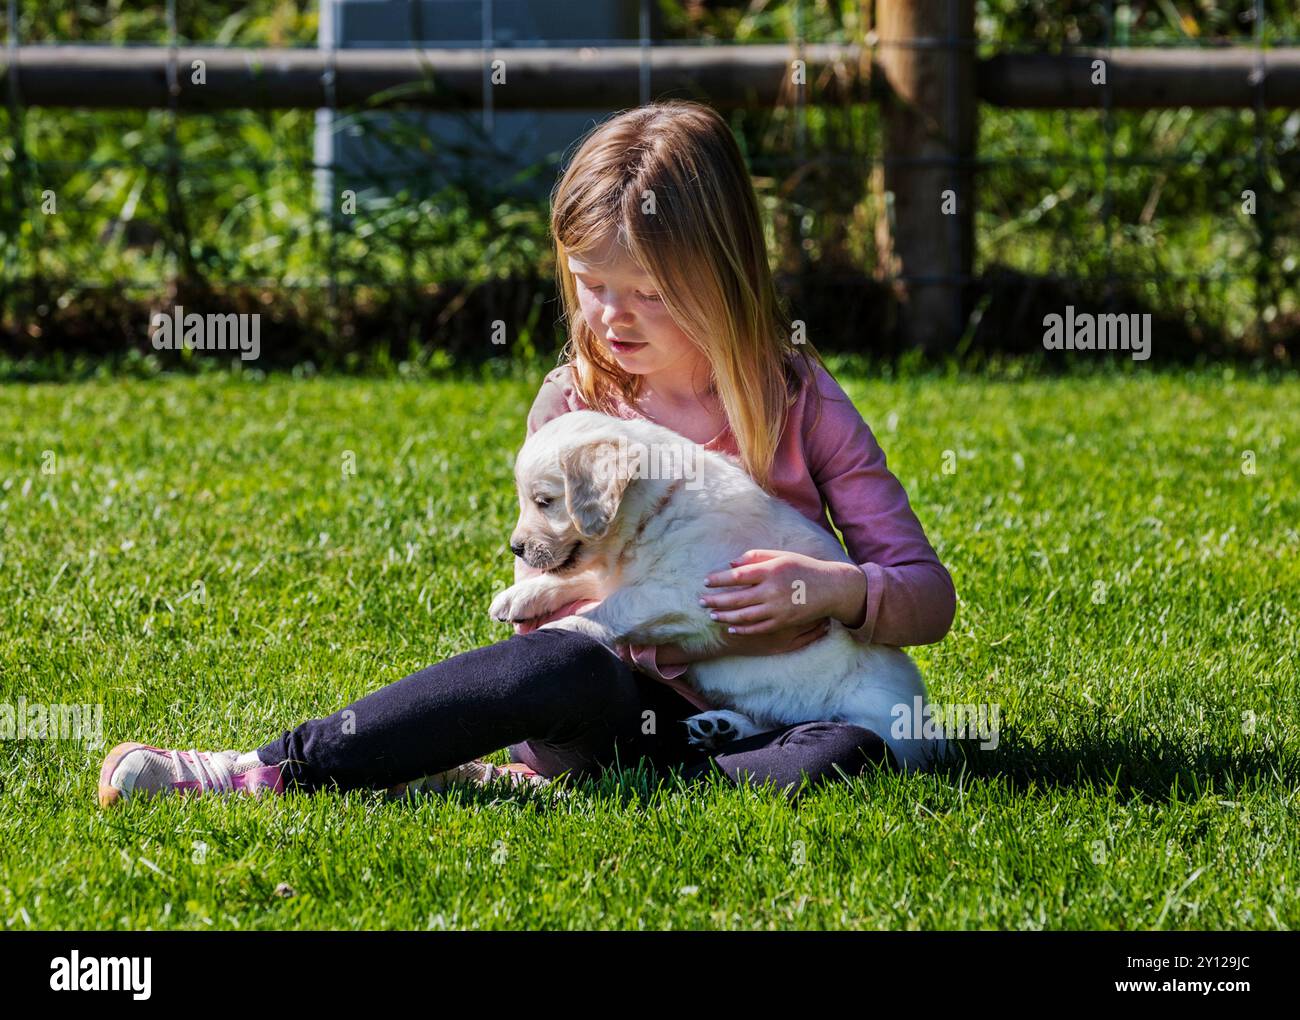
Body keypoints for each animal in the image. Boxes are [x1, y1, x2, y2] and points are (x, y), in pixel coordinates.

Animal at [491, 410, 951, 769]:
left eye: (545, 501)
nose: (515, 547)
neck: (655, 508)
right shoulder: (618, 569)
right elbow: (584, 580)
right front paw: (521, 597)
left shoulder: (689, 590)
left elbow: (618, 605)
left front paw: (564, 626)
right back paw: (720, 728)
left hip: (881, 716)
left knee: (849, 735)